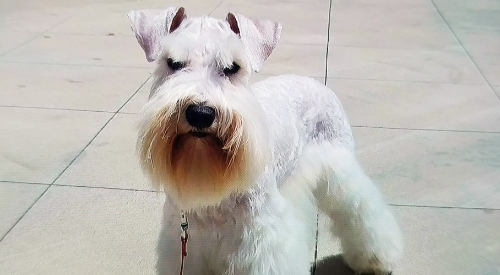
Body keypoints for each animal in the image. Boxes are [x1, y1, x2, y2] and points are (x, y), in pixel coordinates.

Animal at [128, 7, 402, 275]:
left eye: (233, 67)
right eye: (172, 63)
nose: (200, 113)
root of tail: (316, 84)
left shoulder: (263, 242)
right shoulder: (185, 243)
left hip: (340, 171)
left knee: (363, 210)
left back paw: (376, 259)